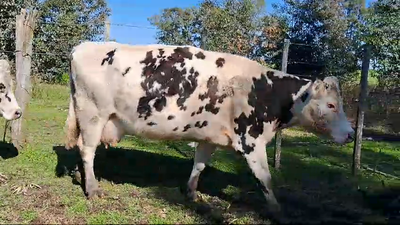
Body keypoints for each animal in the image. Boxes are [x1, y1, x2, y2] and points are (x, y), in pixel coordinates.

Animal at [64, 41, 354, 213]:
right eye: (331, 105)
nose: (351, 134)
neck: (265, 91)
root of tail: (83, 46)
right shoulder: (251, 140)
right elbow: (265, 178)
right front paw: (276, 209)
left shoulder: (209, 136)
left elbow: (199, 165)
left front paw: (192, 194)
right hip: (93, 114)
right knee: (87, 149)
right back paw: (92, 188)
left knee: (81, 147)